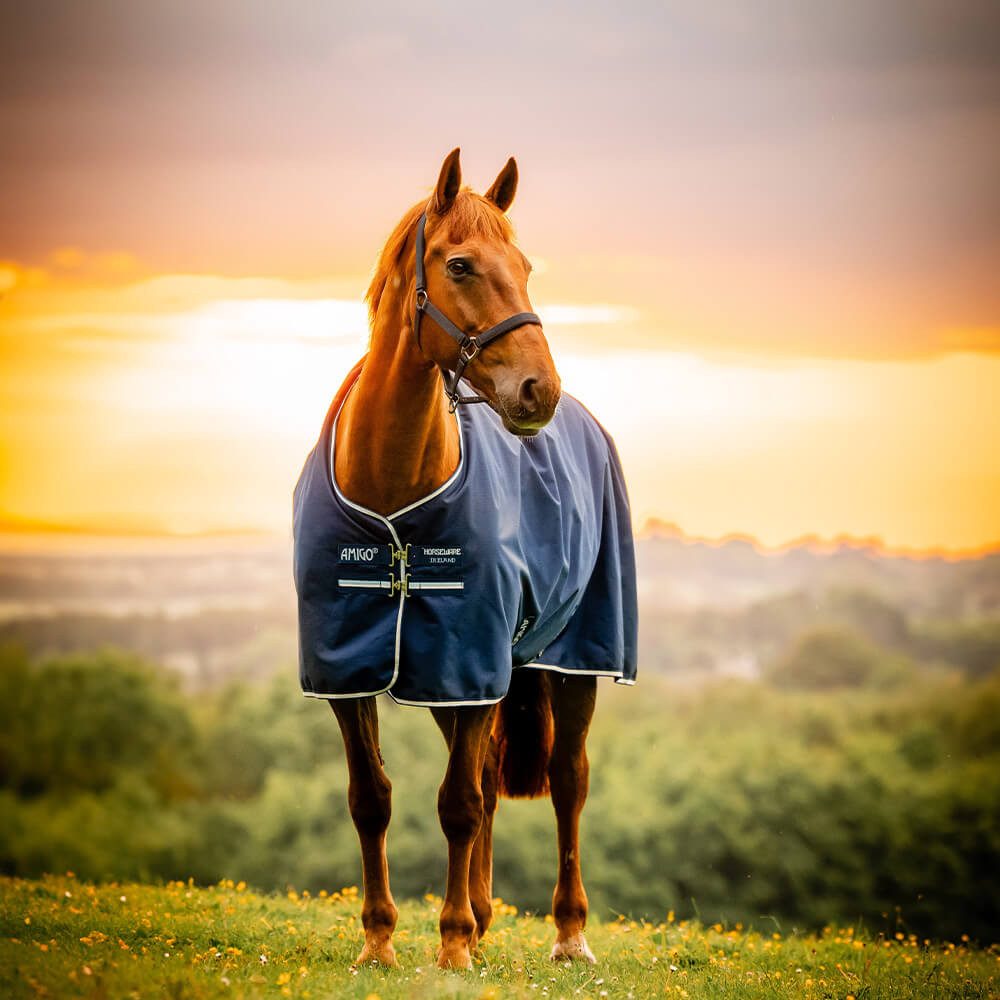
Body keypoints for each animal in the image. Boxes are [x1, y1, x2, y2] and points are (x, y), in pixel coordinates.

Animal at [293, 148, 637, 970]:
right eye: (460, 264)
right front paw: (380, 942)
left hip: (572, 659)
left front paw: (449, 947)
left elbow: (458, 804)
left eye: (526, 265)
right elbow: (372, 799)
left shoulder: (472, 660)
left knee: (567, 780)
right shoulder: (356, 669)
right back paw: (480, 916)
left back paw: (567, 933)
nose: (539, 390)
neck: (393, 492)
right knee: (481, 775)